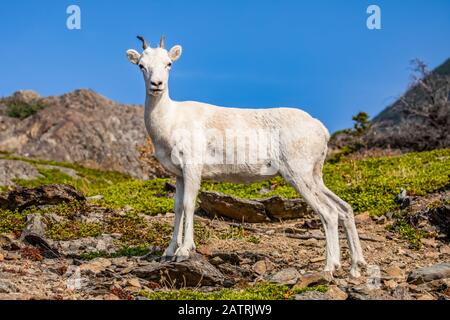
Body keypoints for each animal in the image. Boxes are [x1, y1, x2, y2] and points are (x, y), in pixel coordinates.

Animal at [126, 34, 366, 276]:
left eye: (169, 64)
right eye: (141, 65)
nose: (157, 85)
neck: (170, 121)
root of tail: (320, 129)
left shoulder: (192, 169)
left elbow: (188, 205)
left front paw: (184, 252)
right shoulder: (179, 175)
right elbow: (177, 208)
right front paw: (168, 252)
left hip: (298, 175)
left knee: (329, 213)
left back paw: (329, 267)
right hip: (315, 176)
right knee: (344, 208)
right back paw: (356, 266)